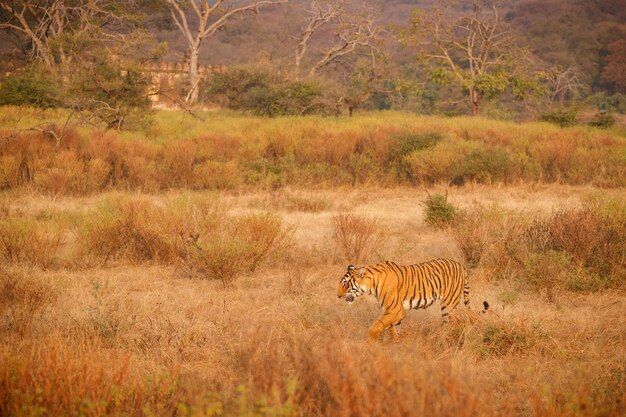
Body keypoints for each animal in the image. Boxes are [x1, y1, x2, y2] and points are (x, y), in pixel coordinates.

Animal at [336, 256, 488, 342]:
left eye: (345, 284)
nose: (338, 296)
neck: (371, 285)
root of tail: (460, 265)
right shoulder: (393, 311)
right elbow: (393, 329)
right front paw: (396, 345)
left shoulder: (395, 310)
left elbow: (376, 326)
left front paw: (369, 343)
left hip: (448, 305)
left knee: (451, 323)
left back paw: (443, 340)